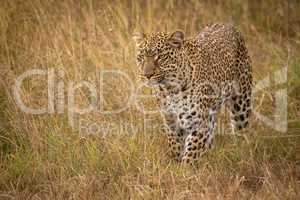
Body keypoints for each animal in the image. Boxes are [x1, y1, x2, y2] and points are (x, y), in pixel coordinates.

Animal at [132, 23, 252, 164]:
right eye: (141, 57)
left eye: (160, 57)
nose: (147, 75)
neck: (171, 89)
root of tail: (228, 25)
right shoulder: (171, 122)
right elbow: (175, 148)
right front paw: (175, 164)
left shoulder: (198, 124)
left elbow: (191, 154)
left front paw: (185, 168)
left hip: (241, 103)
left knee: (241, 131)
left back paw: (241, 154)